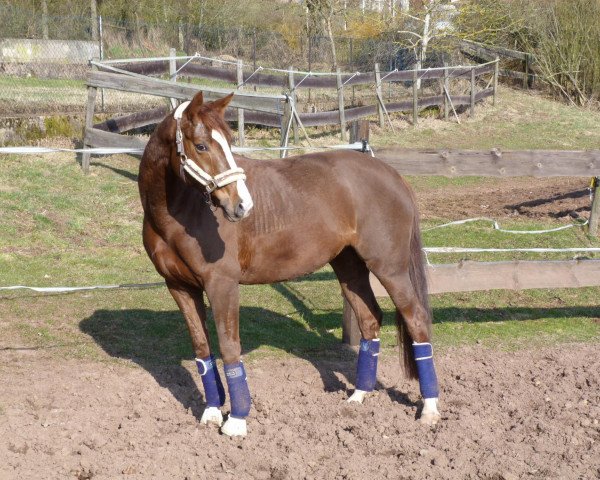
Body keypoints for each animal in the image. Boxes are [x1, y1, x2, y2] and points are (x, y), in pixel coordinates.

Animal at [141, 92, 440, 436]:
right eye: (201, 146)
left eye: (229, 142)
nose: (242, 205)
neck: (179, 213)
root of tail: (394, 176)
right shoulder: (180, 287)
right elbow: (203, 349)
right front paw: (212, 413)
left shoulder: (222, 285)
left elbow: (229, 347)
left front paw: (236, 421)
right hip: (349, 267)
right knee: (369, 319)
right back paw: (359, 395)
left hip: (390, 268)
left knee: (416, 319)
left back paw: (429, 409)